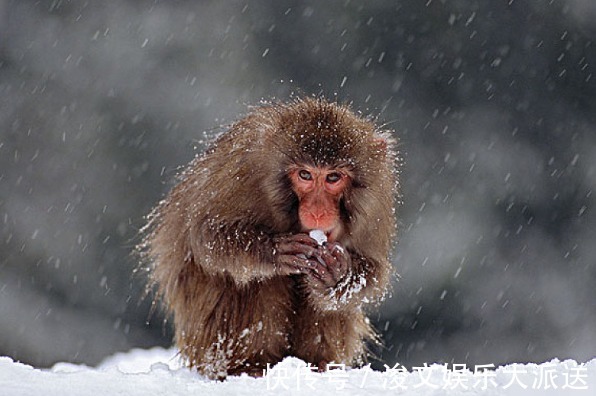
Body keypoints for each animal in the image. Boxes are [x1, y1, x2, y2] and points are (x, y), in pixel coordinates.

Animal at [139, 96, 400, 380]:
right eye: (305, 175)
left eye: (333, 177)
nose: (318, 211)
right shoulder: (243, 168)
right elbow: (206, 235)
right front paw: (273, 250)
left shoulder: (376, 201)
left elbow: (371, 269)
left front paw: (338, 273)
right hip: (205, 343)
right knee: (257, 281)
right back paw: (250, 365)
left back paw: (317, 364)